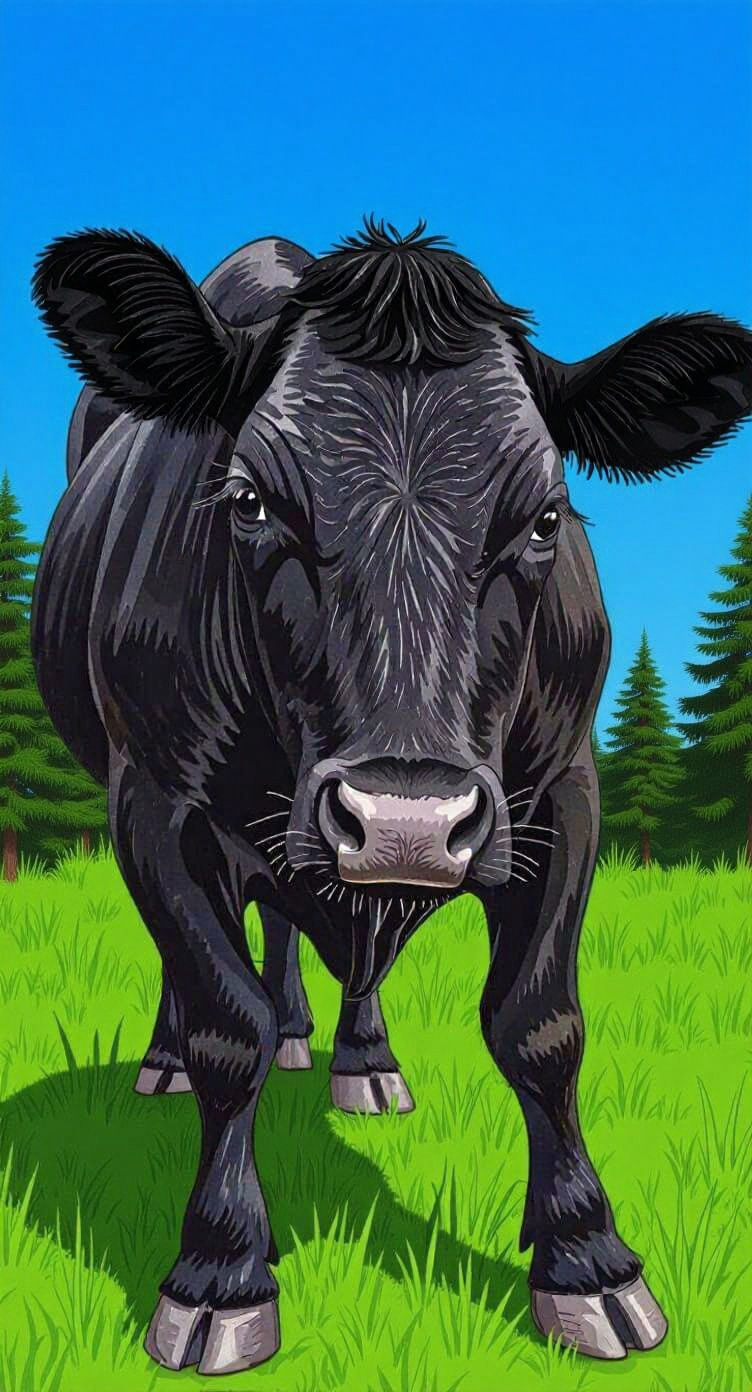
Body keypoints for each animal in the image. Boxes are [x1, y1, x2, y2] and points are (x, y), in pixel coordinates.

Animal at [31, 219, 752, 1376]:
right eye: (248, 500)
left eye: (543, 517)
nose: (405, 821)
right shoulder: (154, 803)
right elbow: (224, 1024)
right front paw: (219, 1270)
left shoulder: (563, 794)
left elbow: (539, 1023)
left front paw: (587, 1260)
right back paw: (167, 1061)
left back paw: (350, 1056)